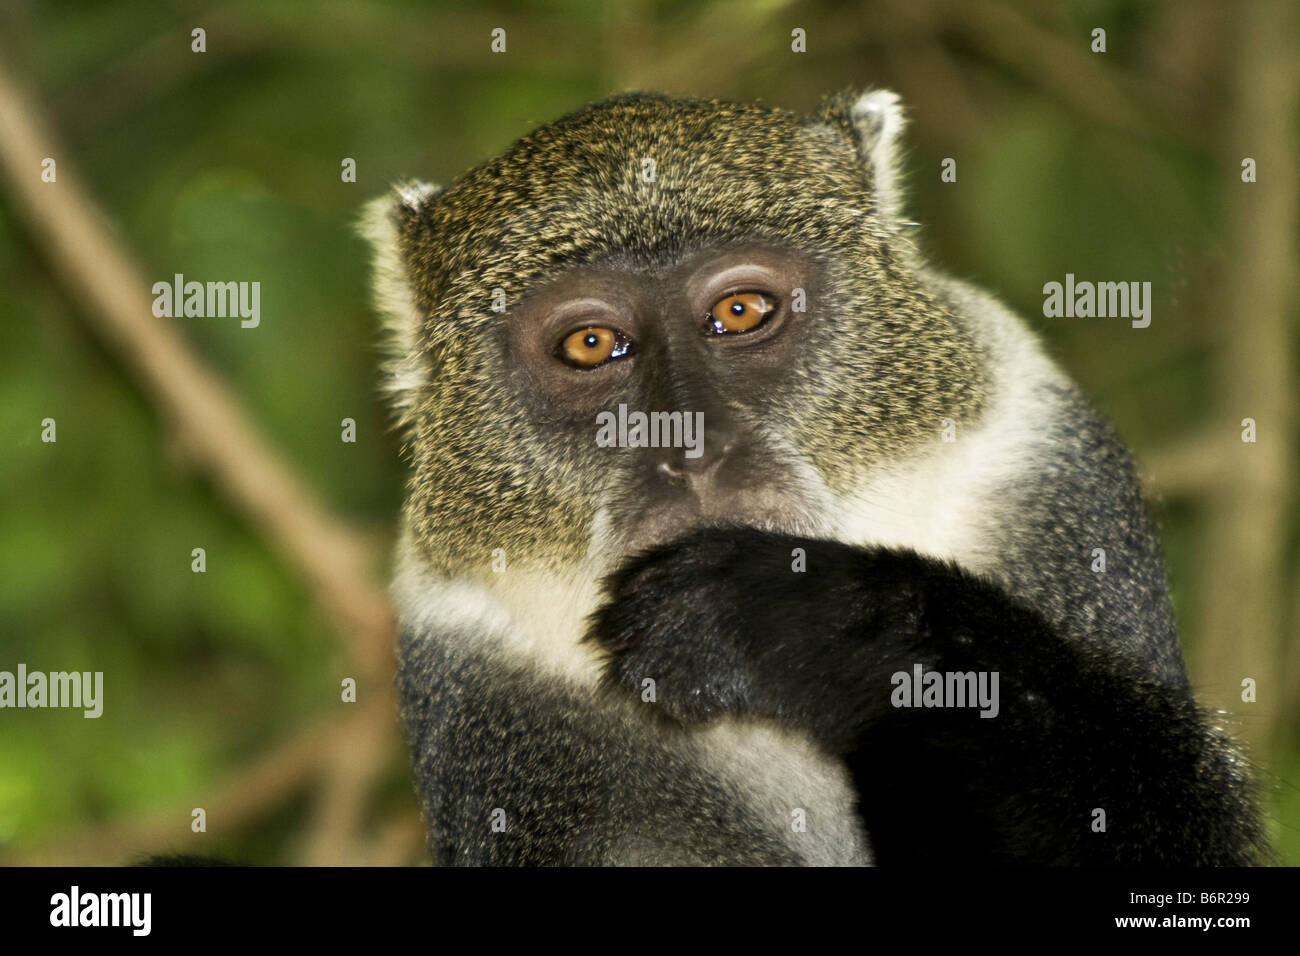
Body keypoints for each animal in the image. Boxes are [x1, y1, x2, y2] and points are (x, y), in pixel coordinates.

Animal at [363, 89, 1263, 865]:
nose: (692, 449)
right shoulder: (486, 701)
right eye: (591, 345)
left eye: (739, 313)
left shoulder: (1049, 480)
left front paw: (811, 623)